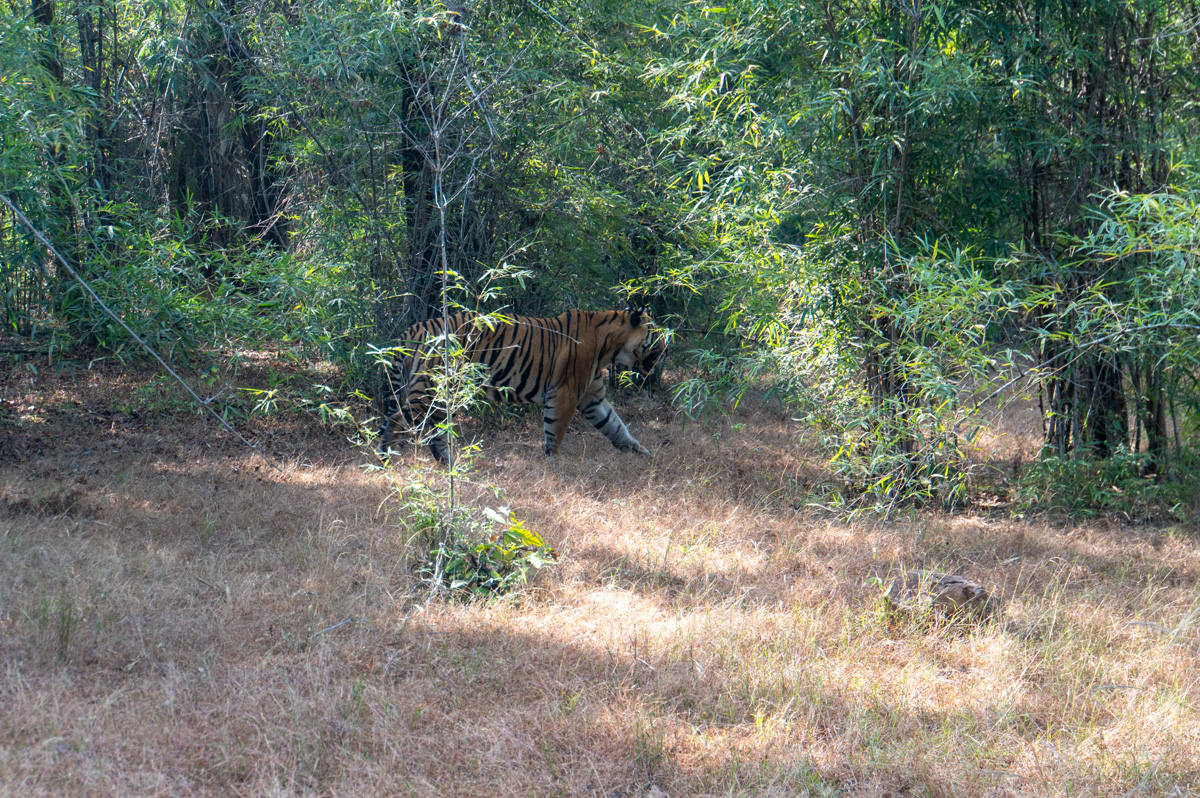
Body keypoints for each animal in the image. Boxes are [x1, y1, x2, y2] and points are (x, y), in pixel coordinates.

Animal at [377, 308, 667, 463]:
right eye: (655, 332)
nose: (668, 344)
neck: (610, 347)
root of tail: (413, 329)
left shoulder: (592, 397)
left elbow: (616, 426)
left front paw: (641, 453)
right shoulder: (565, 393)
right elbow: (555, 431)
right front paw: (553, 462)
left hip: (438, 393)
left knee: (426, 426)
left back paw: (443, 462)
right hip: (430, 389)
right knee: (401, 418)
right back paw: (387, 459)